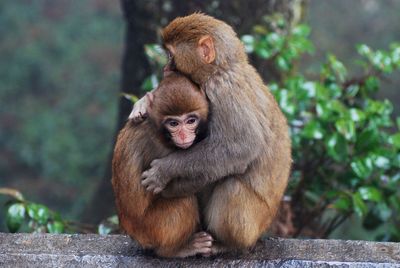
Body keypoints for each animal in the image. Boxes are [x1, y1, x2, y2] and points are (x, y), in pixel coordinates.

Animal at [111, 71, 211, 258]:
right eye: (173, 123)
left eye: (191, 121)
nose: (184, 136)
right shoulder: (158, 147)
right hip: (153, 228)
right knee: (184, 198)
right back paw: (175, 250)